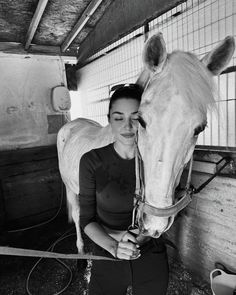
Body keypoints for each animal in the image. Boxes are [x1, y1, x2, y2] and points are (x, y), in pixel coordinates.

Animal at [56, 33, 234, 254]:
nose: (154, 223)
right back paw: (80, 248)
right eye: (140, 120)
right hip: (70, 187)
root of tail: (73, 124)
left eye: (200, 129)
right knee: (78, 212)